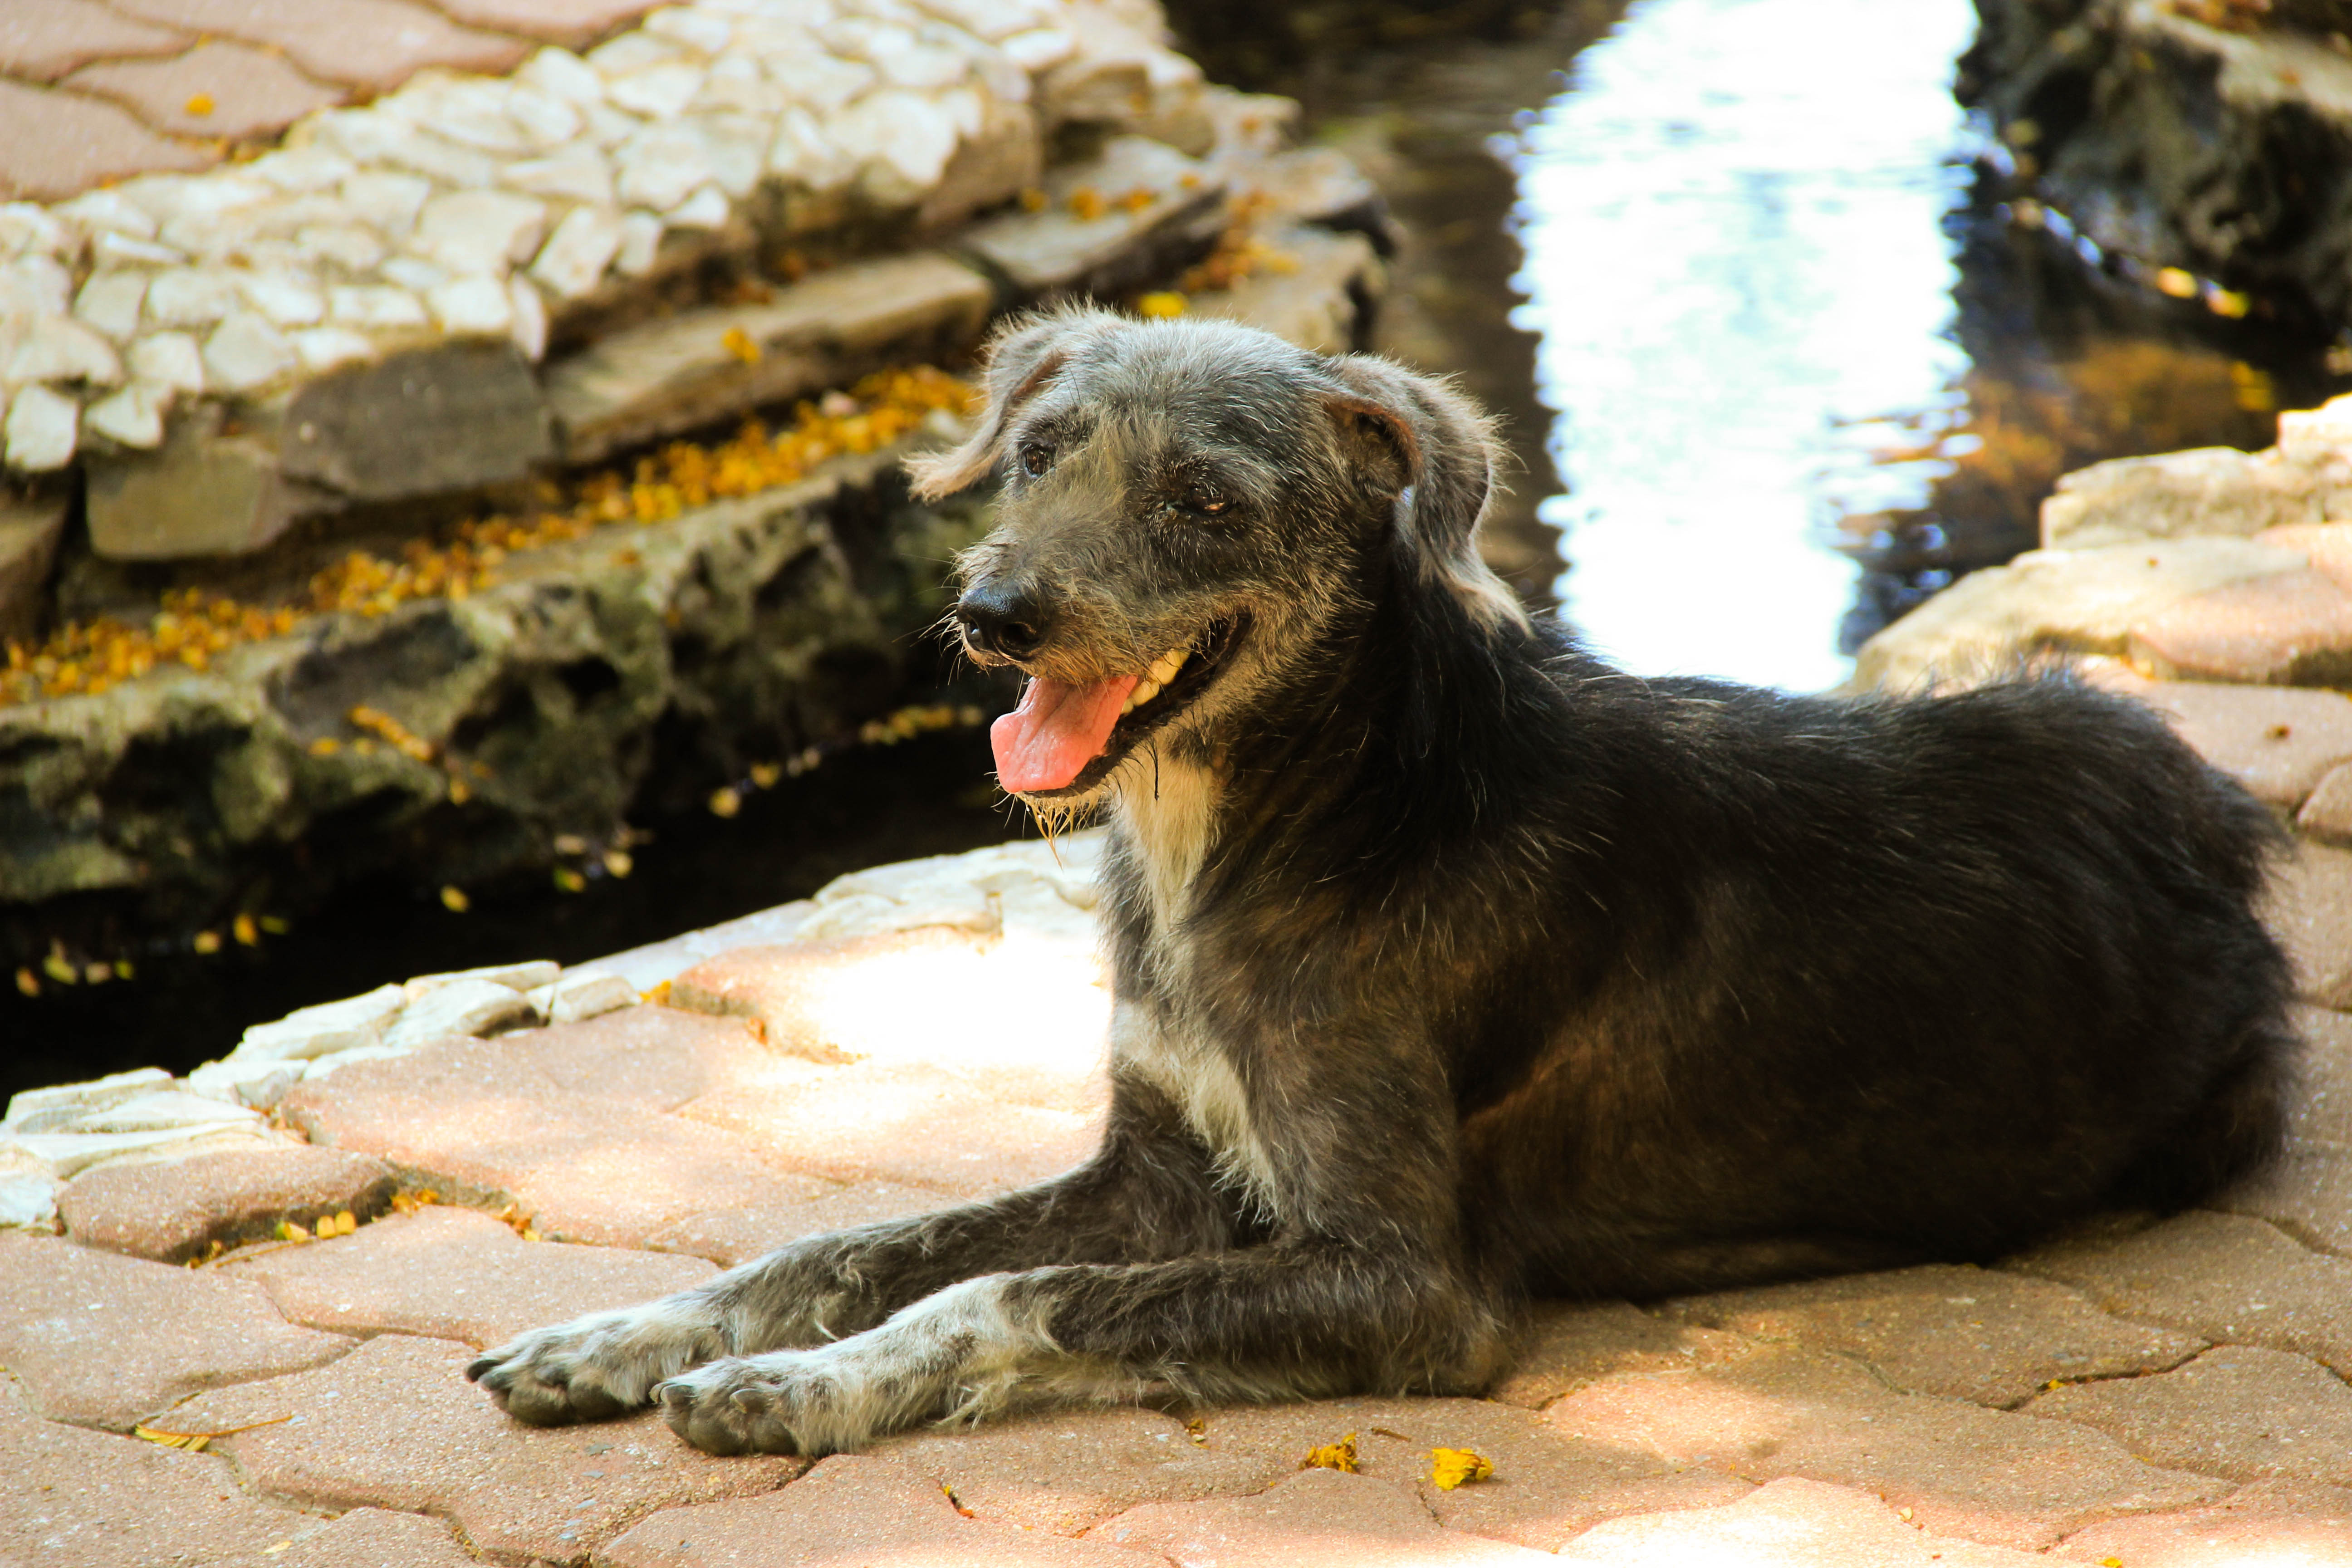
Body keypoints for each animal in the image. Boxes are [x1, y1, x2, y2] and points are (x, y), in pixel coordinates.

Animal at [463, 305, 2295, 1457]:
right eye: (1040, 453)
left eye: (1203, 501)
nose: (993, 616)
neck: (1292, 819)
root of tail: (2217, 834)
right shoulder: (1153, 1169)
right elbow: (838, 1247)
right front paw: (625, 1337)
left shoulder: (1410, 1284)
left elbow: (1006, 1293)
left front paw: (802, 1389)